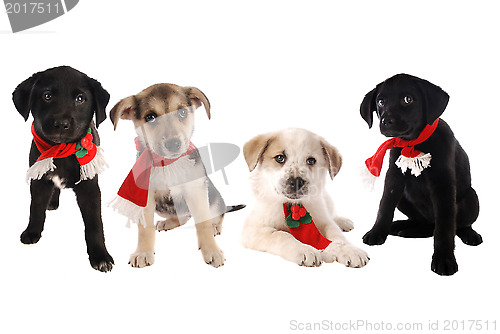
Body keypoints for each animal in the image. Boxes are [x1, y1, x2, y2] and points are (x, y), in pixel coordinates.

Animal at [12, 66, 115, 272]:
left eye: (80, 99)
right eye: (47, 96)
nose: (61, 124)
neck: (62, 151)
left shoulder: (90, 187)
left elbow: (94, 223)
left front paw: (100, 256)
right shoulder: (39, 179)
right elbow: (36, 207)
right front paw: (32, 231)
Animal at [240, 128, 370, 268]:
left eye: (311, 161)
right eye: (280, 158)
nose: (296, 181)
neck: (293, 205)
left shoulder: (324, 221)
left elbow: (337, 235)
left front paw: (349, 249)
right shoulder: (253, 230)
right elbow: (282, 235)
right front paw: (305, 249)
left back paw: (342, 221)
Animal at [362, 74, 482, 276]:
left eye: (407, 99)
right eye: (380, 102)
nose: (386, 121)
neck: (414, 143)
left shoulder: (443, 184)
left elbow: (444, 226)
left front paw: (444, 258)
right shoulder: (393, 178)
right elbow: (384, 206)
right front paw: (377, 232)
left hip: (472, 198)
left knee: (454, 225)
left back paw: (469, 234)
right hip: (404, 200)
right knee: (425, 225)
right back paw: (401, 227)